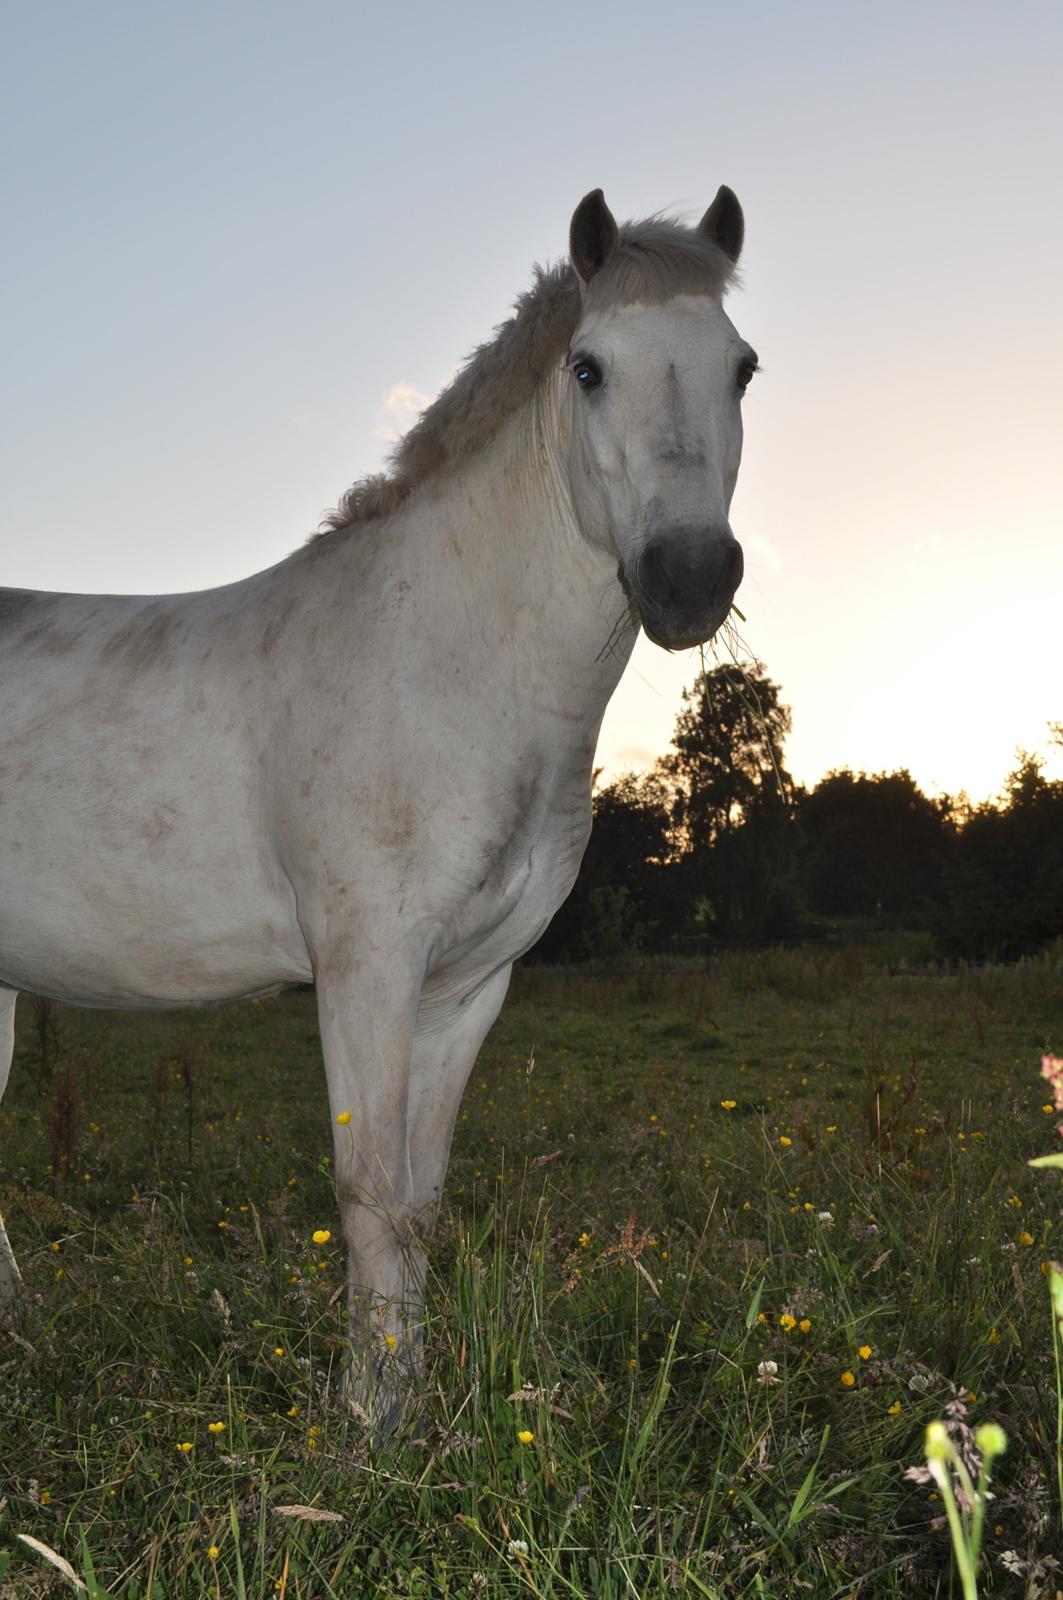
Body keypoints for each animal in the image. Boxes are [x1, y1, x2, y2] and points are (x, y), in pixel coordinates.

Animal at [4, 187, 758, 1427]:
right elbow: (364, 1195)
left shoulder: (464, 987)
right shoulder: (364, 966)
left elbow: (417, 1200)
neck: (443, 660)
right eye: (589, 368)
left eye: (740, 367)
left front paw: (414, 1404)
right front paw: (366, 1421)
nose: (689, 578)